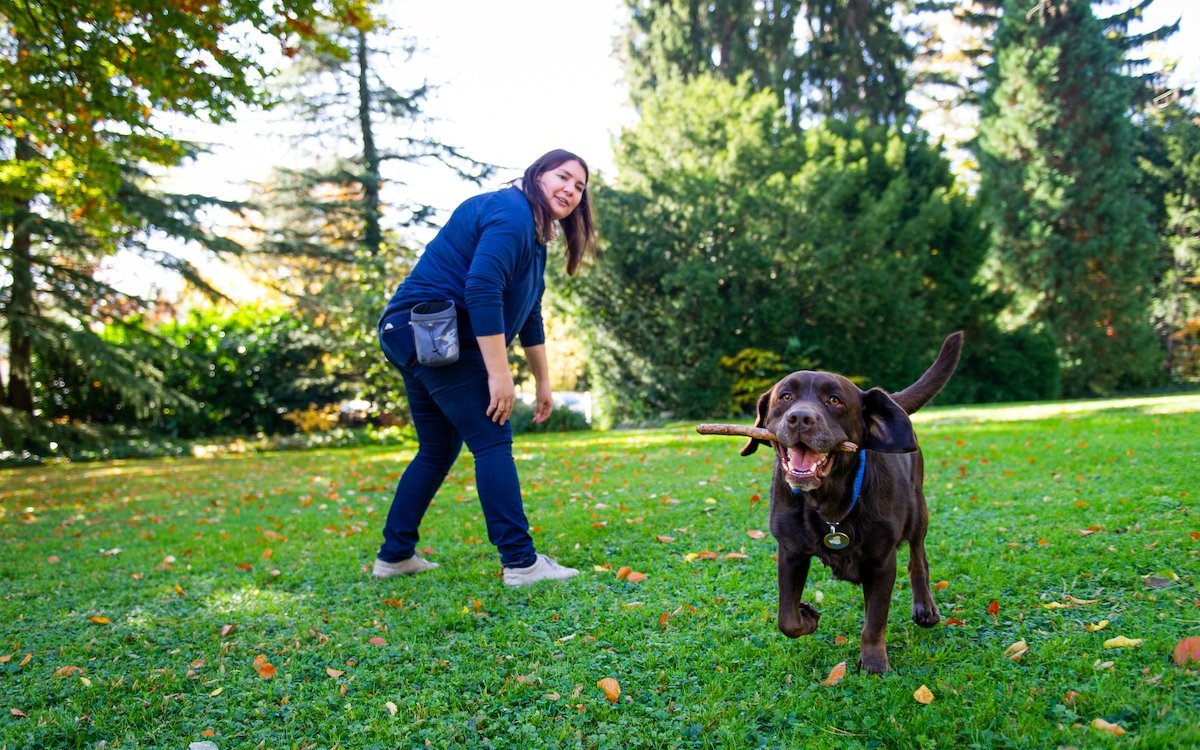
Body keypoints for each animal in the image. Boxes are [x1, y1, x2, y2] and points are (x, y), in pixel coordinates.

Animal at [739, 331, 964, 672]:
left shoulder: (882, 560)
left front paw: (874, 664)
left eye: (834, 401)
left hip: (917, 511)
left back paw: (925, 606)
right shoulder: (790, 551)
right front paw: (807, 616)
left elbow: (875, 621)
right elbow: (786, 618)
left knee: (918, 558)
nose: (800, 418)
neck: (828, 500)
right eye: (785, 397)